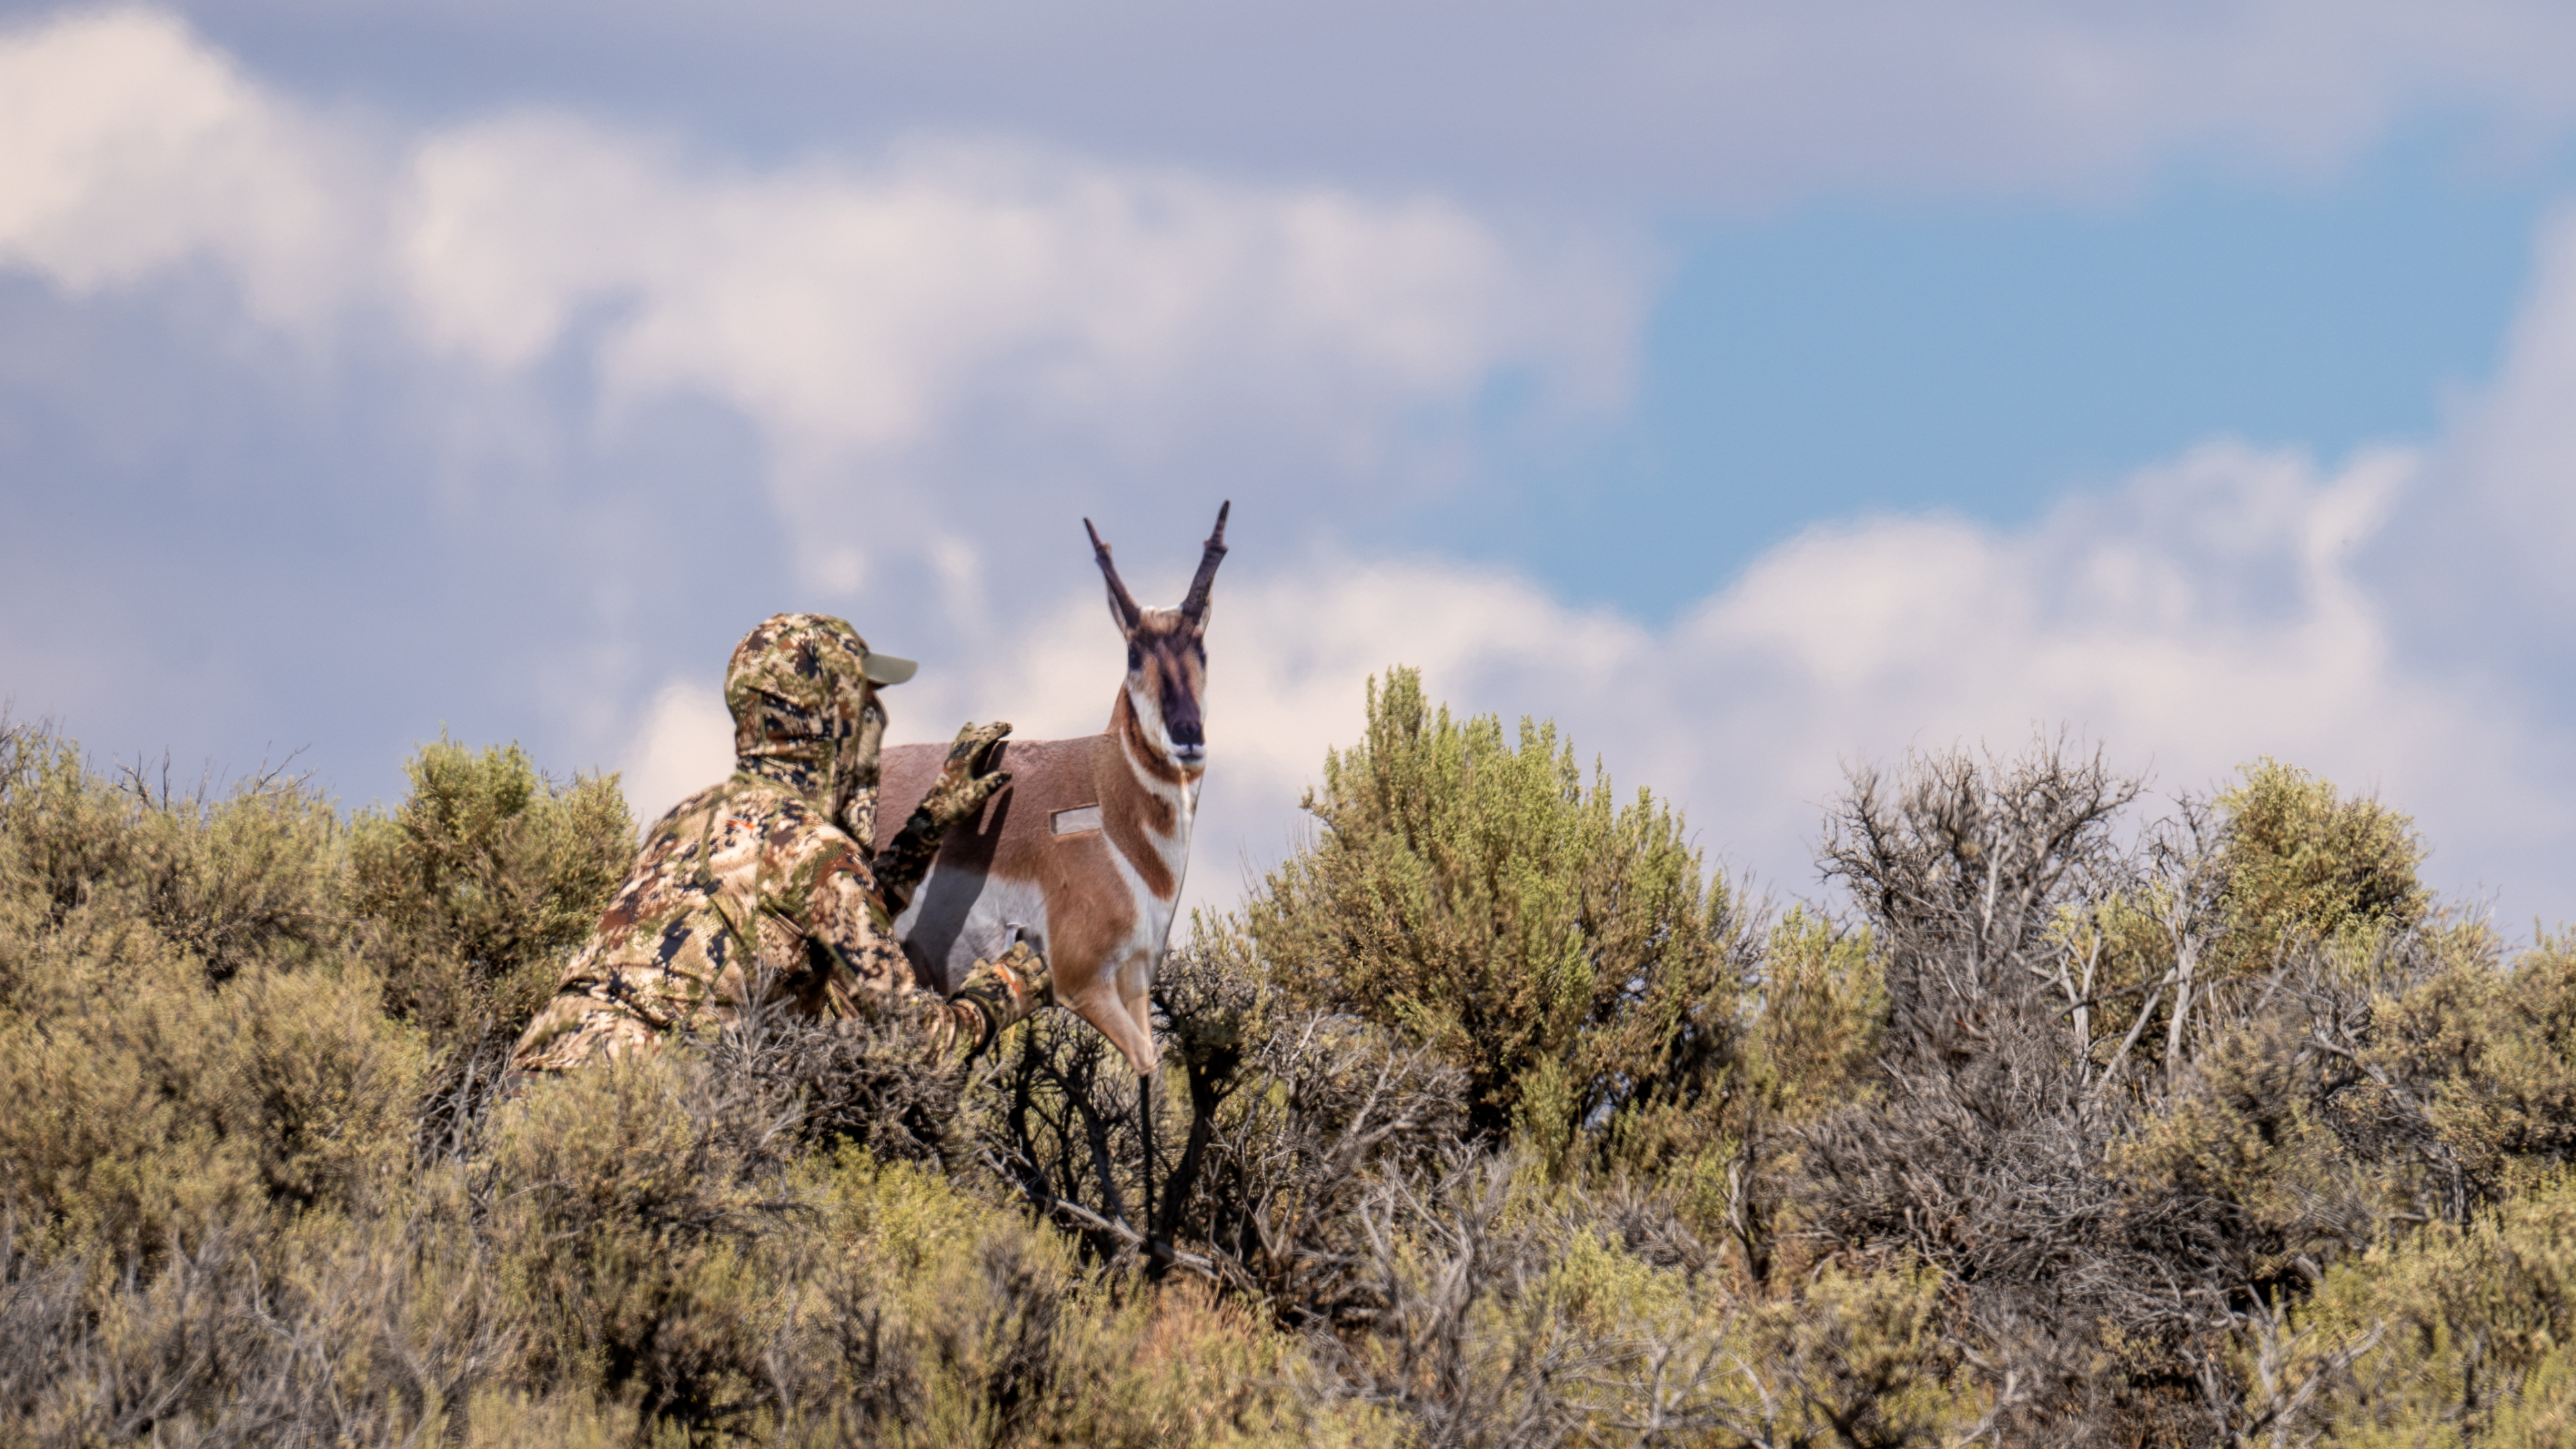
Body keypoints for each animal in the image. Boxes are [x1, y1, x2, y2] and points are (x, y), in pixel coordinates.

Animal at [877, 502, 1228, 1081]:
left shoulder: (1136, 980)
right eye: (1134, 653)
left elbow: (1151, 1071)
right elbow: (1143, 1063)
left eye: (1200, 644)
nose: (1187, 734)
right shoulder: (1083, 985)